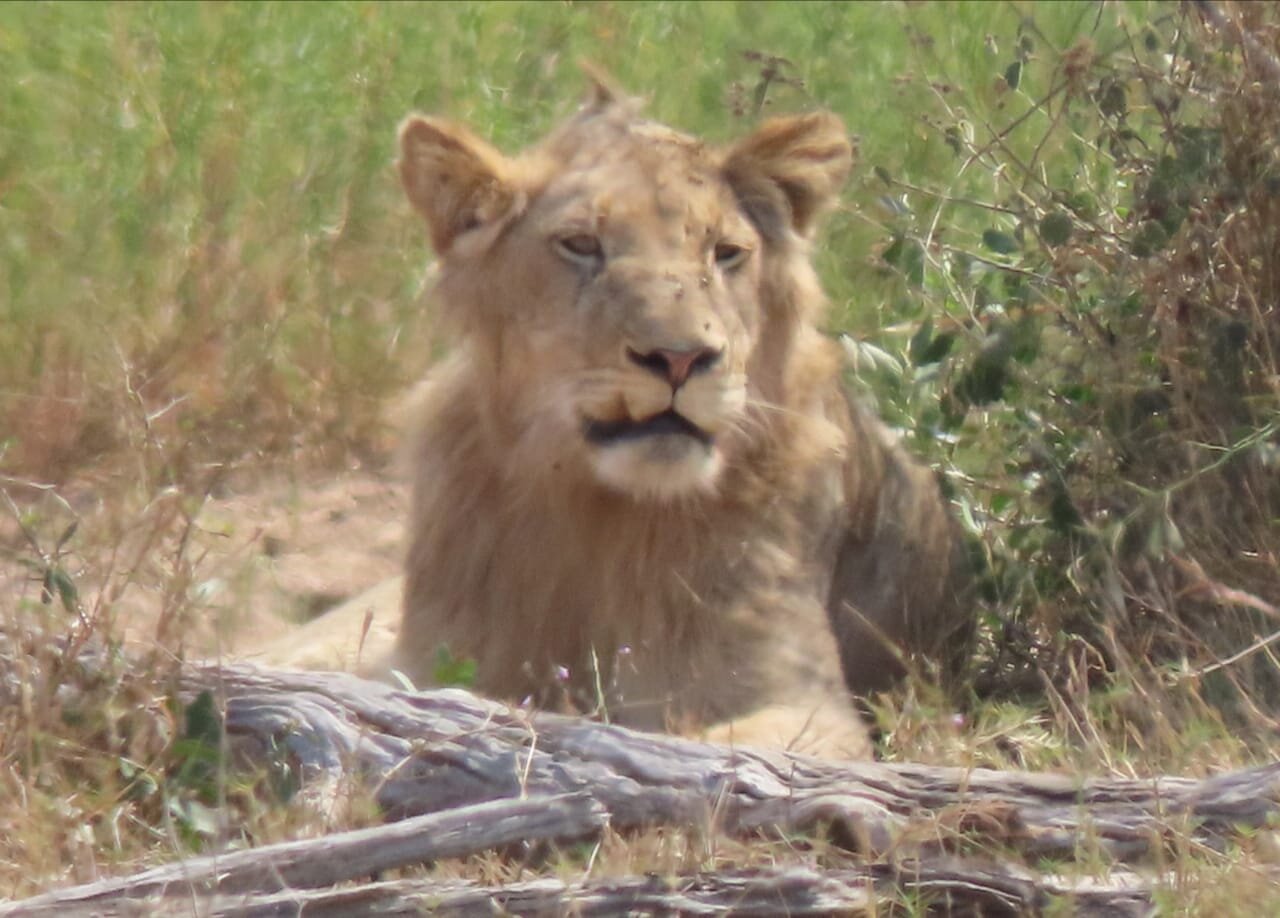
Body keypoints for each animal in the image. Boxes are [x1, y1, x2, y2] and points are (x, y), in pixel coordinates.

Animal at [270, 80, 967, 757]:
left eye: (727, 253)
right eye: (581, 245)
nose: (680, 358)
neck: (601, 510)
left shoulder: (810, 707)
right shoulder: (423, 662)